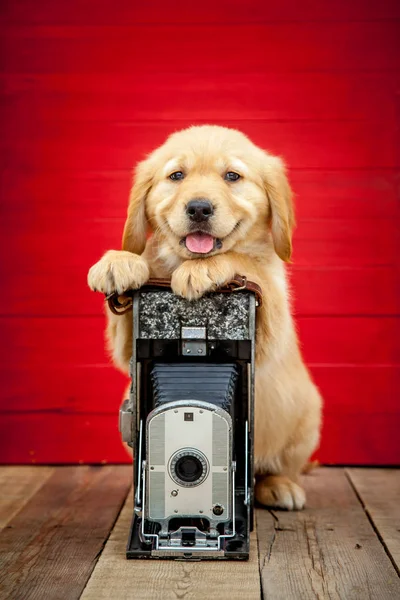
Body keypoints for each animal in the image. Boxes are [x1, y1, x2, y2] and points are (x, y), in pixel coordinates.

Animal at [87, 124, 322, 508]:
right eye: (176, 176)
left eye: (232, 176)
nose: (199, 208)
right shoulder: (131, 345)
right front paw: (118, 261)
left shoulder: (269, 317)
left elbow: (243, 262)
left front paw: (205, 270)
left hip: (306, 415)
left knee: (277, 467)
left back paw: (279, 485)